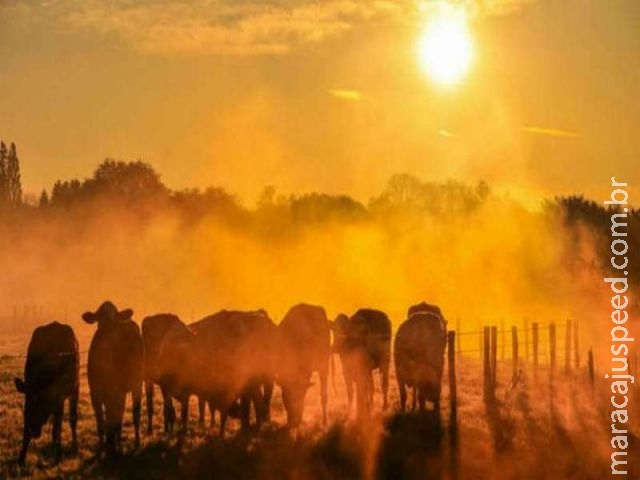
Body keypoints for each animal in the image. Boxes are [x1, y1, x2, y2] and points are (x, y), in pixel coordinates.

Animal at [13, 322, 79, 464]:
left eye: (41, 403)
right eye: (27, 405)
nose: (34, 429)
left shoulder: (61, 396)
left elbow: (59, 427)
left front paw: (57, 457)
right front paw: (21, 458)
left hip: (74, 389)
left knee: (72, 418)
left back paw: (73, 445)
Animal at [83, 302, 143, 456]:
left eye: (115, 322)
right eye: (99, 320)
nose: (109, 338)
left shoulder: (117, 391)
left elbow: (114, 418)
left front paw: (113, 446)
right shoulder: (95, 393)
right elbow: (101, 422)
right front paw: (102, 447)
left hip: (136, 384)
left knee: (135, 414)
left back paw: (134, 442)